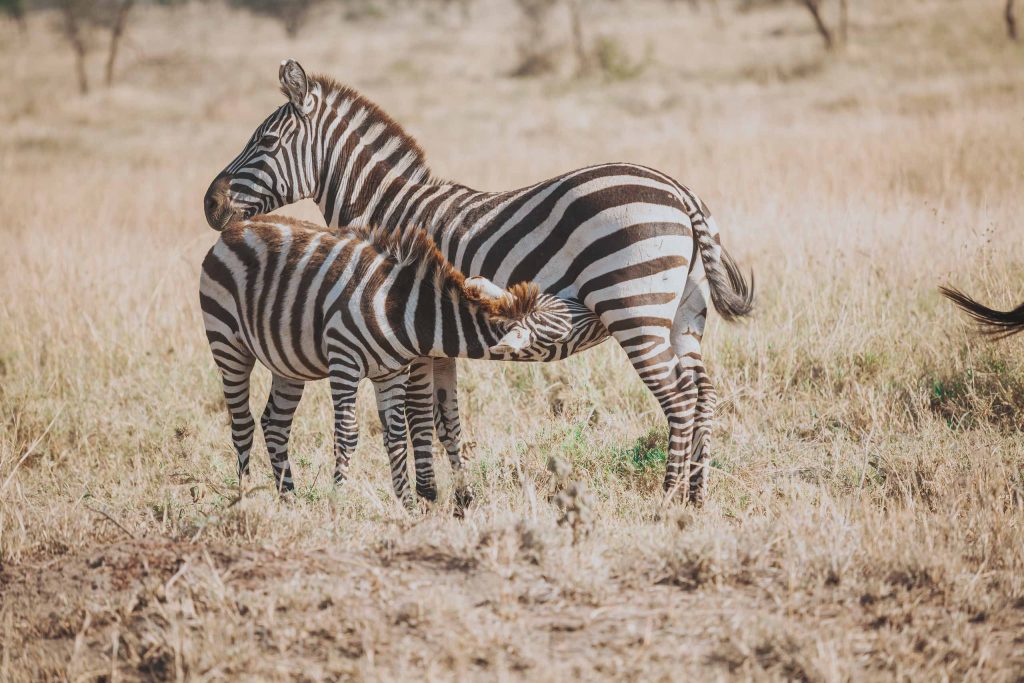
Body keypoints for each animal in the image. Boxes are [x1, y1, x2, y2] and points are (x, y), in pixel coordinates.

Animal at [200, 214, 607, 505]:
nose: (602, 314)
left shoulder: (391, 373)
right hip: (228, 345)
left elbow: (396, 436)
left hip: (288, 360)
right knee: (242, 423)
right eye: (568, 326)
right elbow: (347, 435)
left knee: (275, 424)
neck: (403, 313)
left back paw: (288, 499)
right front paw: (338, 502)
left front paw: (407, 505)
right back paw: (245, 498)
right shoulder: (344, 361)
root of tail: (235, 227)